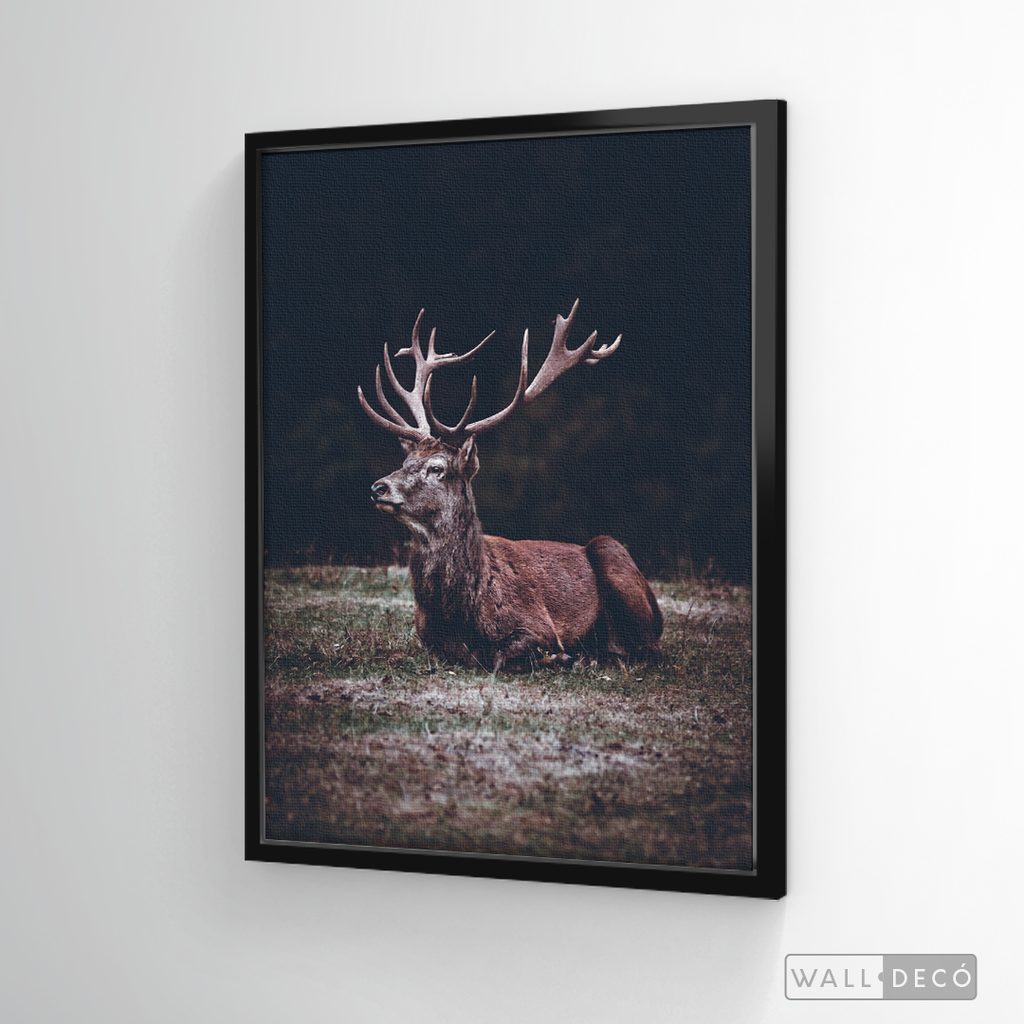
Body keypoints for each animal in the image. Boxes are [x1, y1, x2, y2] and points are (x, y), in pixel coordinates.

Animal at [359, 300, 663, 672]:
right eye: (405, 463)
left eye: (437, 468)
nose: (379, 487)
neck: (459, 615)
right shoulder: (427, 637)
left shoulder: (538, 623)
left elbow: (501, 655)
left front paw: (563, 656)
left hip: (613, 555)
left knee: (649, 650)